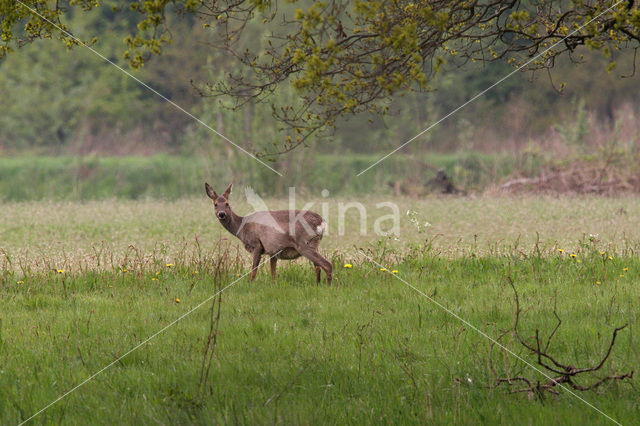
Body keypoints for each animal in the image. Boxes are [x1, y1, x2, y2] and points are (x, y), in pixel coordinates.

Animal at [206, 183, 336, 286]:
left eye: (227, 203)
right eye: (215, 204)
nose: (221, 214)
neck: (242, 228)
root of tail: (322, 222)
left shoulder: (256, 244)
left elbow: (254, 270)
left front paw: (250, 285)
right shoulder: (273, 251)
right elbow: (273, 272)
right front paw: (273, 285)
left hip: (304, 244)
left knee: (327, 265)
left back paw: (329, 287)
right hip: (314, 244)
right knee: (318, 266)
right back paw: (318, 285)